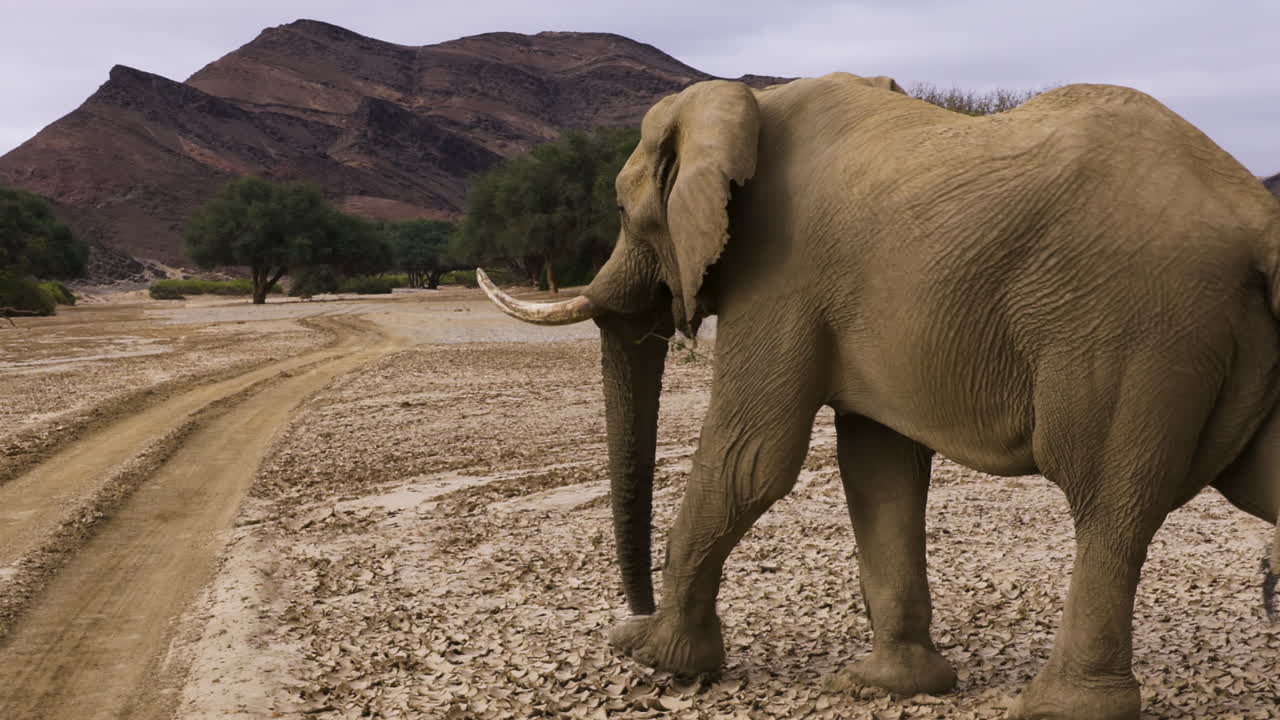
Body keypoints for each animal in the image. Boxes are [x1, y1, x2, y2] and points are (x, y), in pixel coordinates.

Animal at [476, 73, 1280, 720]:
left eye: (620, 209)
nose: (629, 613)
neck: (745, 102)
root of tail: (1256, 215)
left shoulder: (781, 270)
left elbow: (751, 457)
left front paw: (659, 658)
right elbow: (877, 467)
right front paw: (886, 686)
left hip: (1138, 333)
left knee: (1107, 503)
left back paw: (1060, 708)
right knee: (1247, 484)